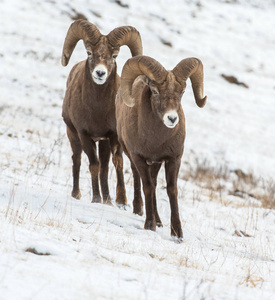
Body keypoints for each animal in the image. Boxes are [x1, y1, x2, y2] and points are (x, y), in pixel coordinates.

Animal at [61, 20, 143, 204]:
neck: (98, 110)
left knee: (105, 167)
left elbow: (116, 163)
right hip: (73, 134)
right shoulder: (84, 134)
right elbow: (94, 165)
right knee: (77, 160)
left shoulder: (112, 135)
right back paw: (76, 194)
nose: (100, 73)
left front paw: (119, 201)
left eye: (114, 56)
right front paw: (96, 199)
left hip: (103, 141)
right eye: (89, 52)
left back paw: (108, 199)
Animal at [116, 55, 207, 238]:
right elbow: (148, 187)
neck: (156, 140)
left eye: (182, 92)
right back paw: (142, 213)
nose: (172, 119)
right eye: (155, 91)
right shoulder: (139, 158)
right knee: (140, 180)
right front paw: (149, 225)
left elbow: (171, 190)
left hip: (156, 164)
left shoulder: (173, 159)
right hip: (133, 157)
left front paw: (177, 233)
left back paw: (158, 221)